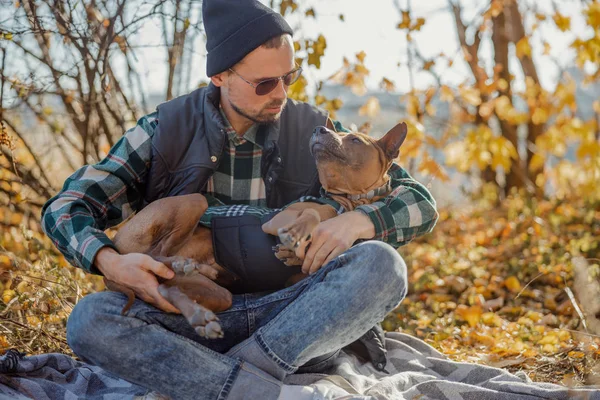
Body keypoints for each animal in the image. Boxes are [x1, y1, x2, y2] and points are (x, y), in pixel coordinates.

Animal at [106, 121, 408, 338]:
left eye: (355, 140)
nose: (319, 129)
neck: (347, 201)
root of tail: (117, 241)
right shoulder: (277, 220)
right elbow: (312, 213)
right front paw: (295, 237)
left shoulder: (300, 276)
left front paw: (292, 254)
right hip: (194, 202)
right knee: (155, 255)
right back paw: (182, 264)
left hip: (216, 294)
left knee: (166, 289)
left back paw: (199, 309)